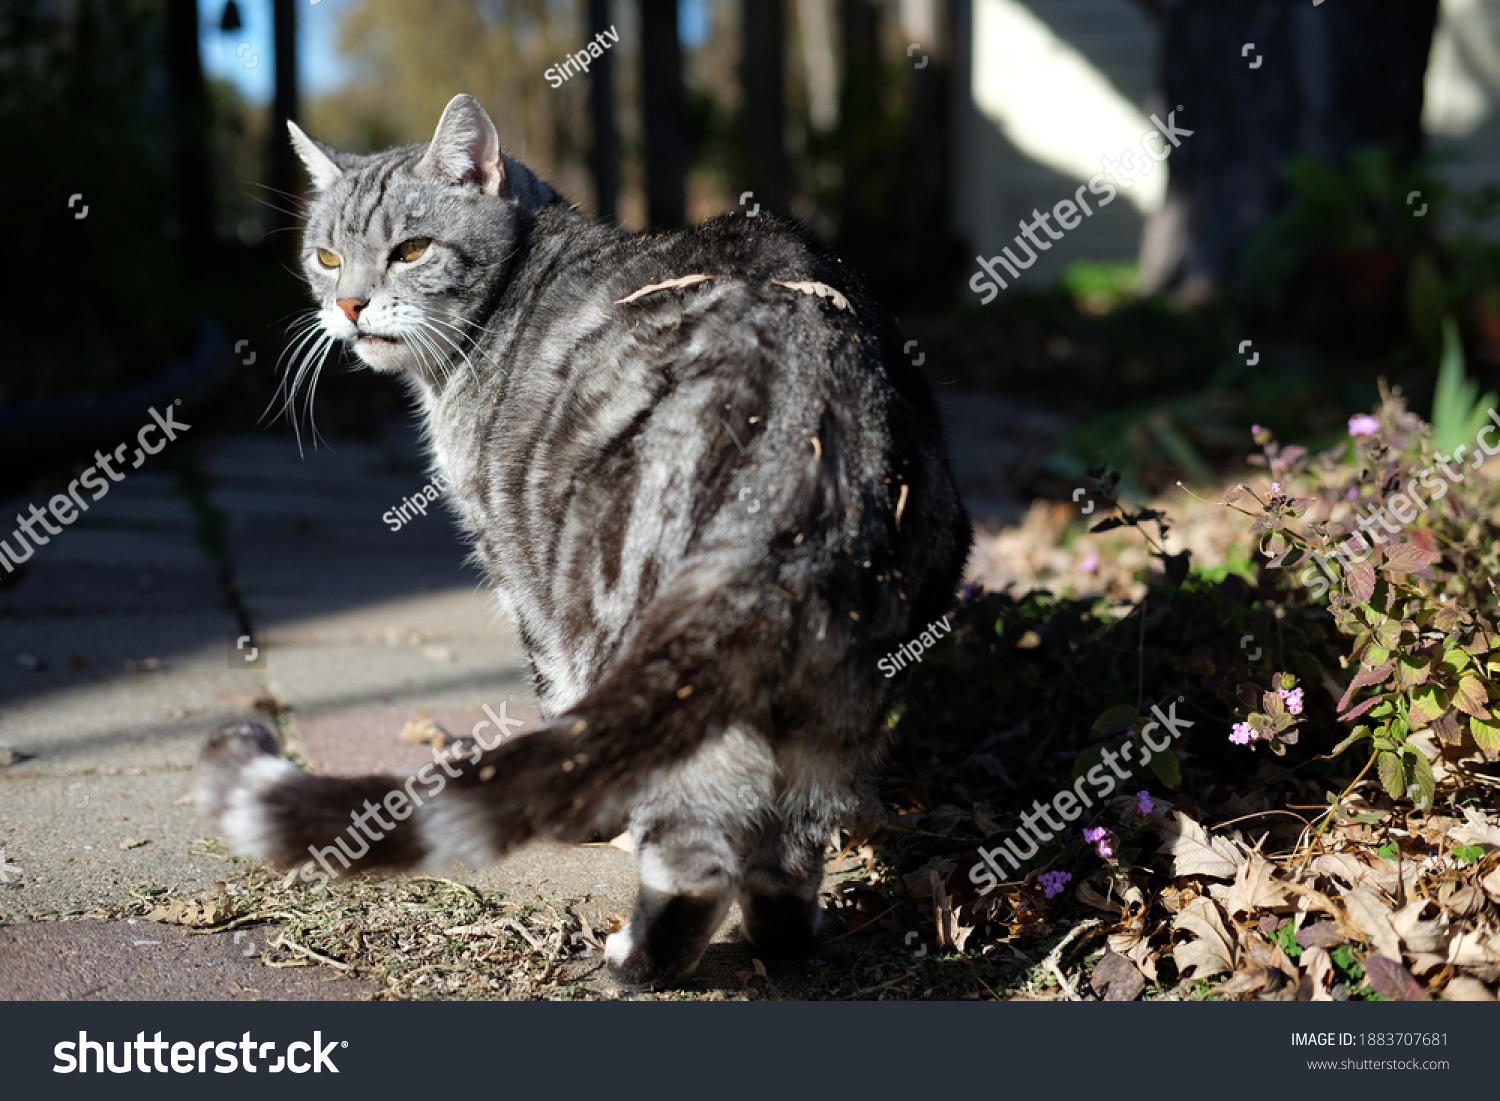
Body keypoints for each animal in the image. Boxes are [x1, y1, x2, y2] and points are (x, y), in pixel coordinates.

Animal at [196, 92, 972, 990]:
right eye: (326, 256)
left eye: (411, 250)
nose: (348, 307)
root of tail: (805, 415)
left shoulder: (520, 571)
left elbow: (557, 694)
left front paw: (586, 816)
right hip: (836, 693)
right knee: (787, 845)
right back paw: (784, 937)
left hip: (635, 621)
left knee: (696, 851)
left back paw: (636, 957)